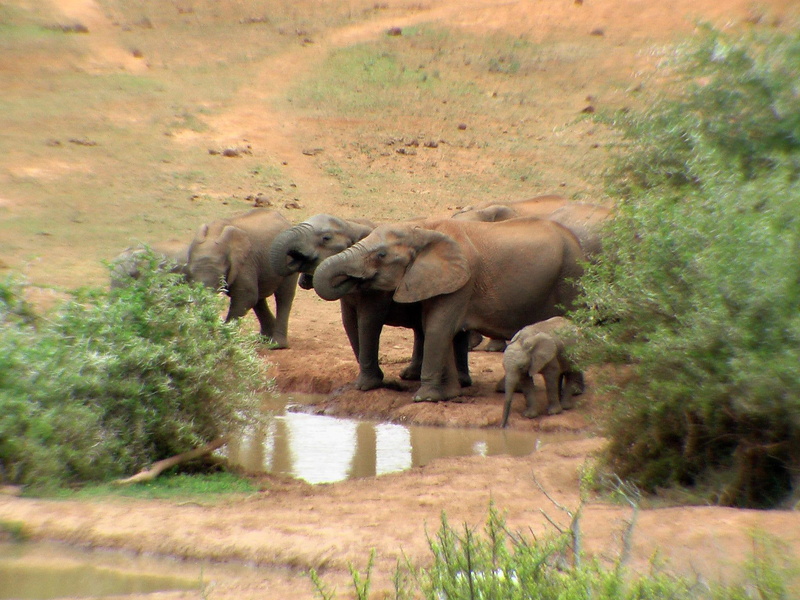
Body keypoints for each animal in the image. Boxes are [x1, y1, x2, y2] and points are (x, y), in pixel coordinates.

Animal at [187, 208, 299, 348]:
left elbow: (246, 297)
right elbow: (250, 298)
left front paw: (226, 343)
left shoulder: (244, 263)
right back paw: (263, 339)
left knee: (283, 296)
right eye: (190, 274)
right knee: (259, 300)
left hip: (289, 259)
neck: (215, 233)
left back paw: (277, 345)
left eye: (220, 277)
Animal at [268, 213, 471, 390]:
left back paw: (459, 382)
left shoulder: (379, 290)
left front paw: (366, 386)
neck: (352, 224)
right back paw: (411, 376)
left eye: (326, 238)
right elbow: (349, 322)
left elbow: (368, 321)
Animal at [312, 216, 584, 402]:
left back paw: (574, 392)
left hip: (571, 274)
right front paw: (450, 395)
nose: (350, 279)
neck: (423, 229)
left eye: (381, 255)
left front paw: (425, 398)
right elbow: (437, 328)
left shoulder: (463, 280)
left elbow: (438, 328)